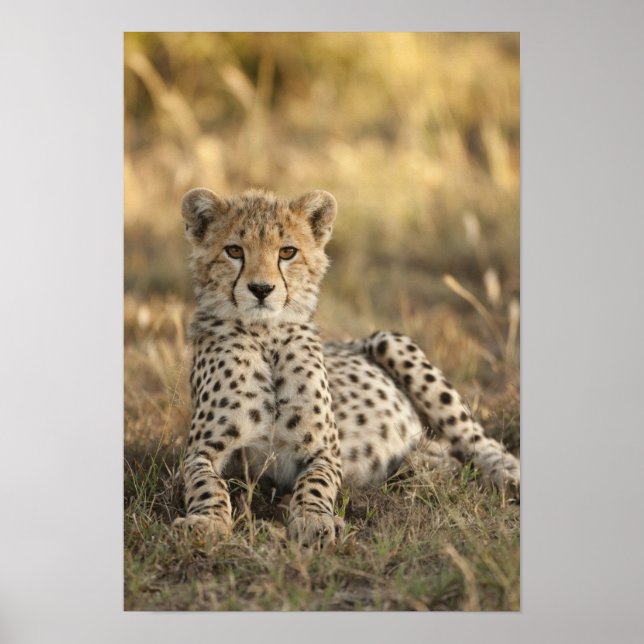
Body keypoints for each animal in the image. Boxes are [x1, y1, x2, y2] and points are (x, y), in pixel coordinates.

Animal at [173, 187, 520, 547]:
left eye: (287, 252)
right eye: (234, 251)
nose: (261, 289)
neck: (265, 335)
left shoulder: (324, 449)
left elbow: (315, 484)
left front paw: (313, 520)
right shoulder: (202, 449)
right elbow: (206, 483)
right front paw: (206, 521)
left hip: (390, 341)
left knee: (478, 439)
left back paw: (508, 475)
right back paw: (424, 461)